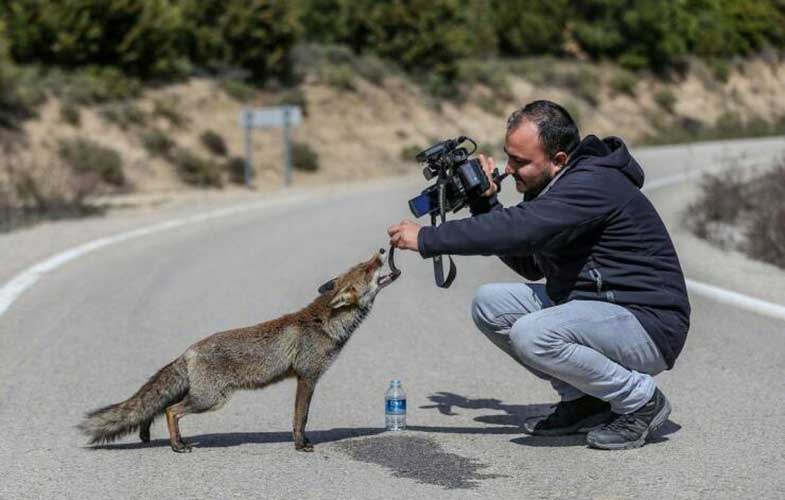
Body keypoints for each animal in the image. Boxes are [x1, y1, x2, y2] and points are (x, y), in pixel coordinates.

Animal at [78, 248, 398, 452]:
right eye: (368, 268)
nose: (383, 249)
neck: (324, 324)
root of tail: (188, 351)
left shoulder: (304, 378)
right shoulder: (307, 377)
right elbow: (301, 418)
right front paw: (300, 445)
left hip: (201, 396)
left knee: (159, 409)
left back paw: (161, 438)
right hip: (211, 399)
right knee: (170, 410)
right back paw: (177, 446)